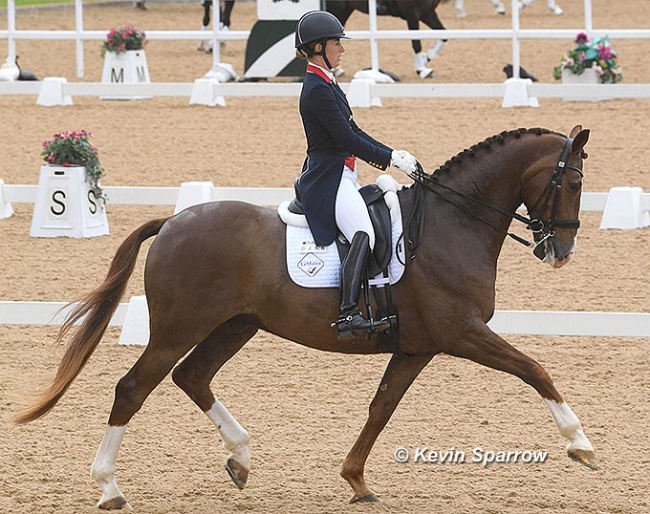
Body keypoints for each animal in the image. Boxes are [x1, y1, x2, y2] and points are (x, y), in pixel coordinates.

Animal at [15, 126, 596, 506]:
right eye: (572, 184)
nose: (561, 251)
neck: (452, 222)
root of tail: (174, 222)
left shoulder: (417, 346)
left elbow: (381, 408)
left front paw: (356, 480)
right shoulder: (463, 333)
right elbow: (536, 370)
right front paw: (581, 446)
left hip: (236, 325)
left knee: (193, 376)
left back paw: (241, 459)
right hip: (179, 328)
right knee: (134, 388)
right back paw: (109, 487)